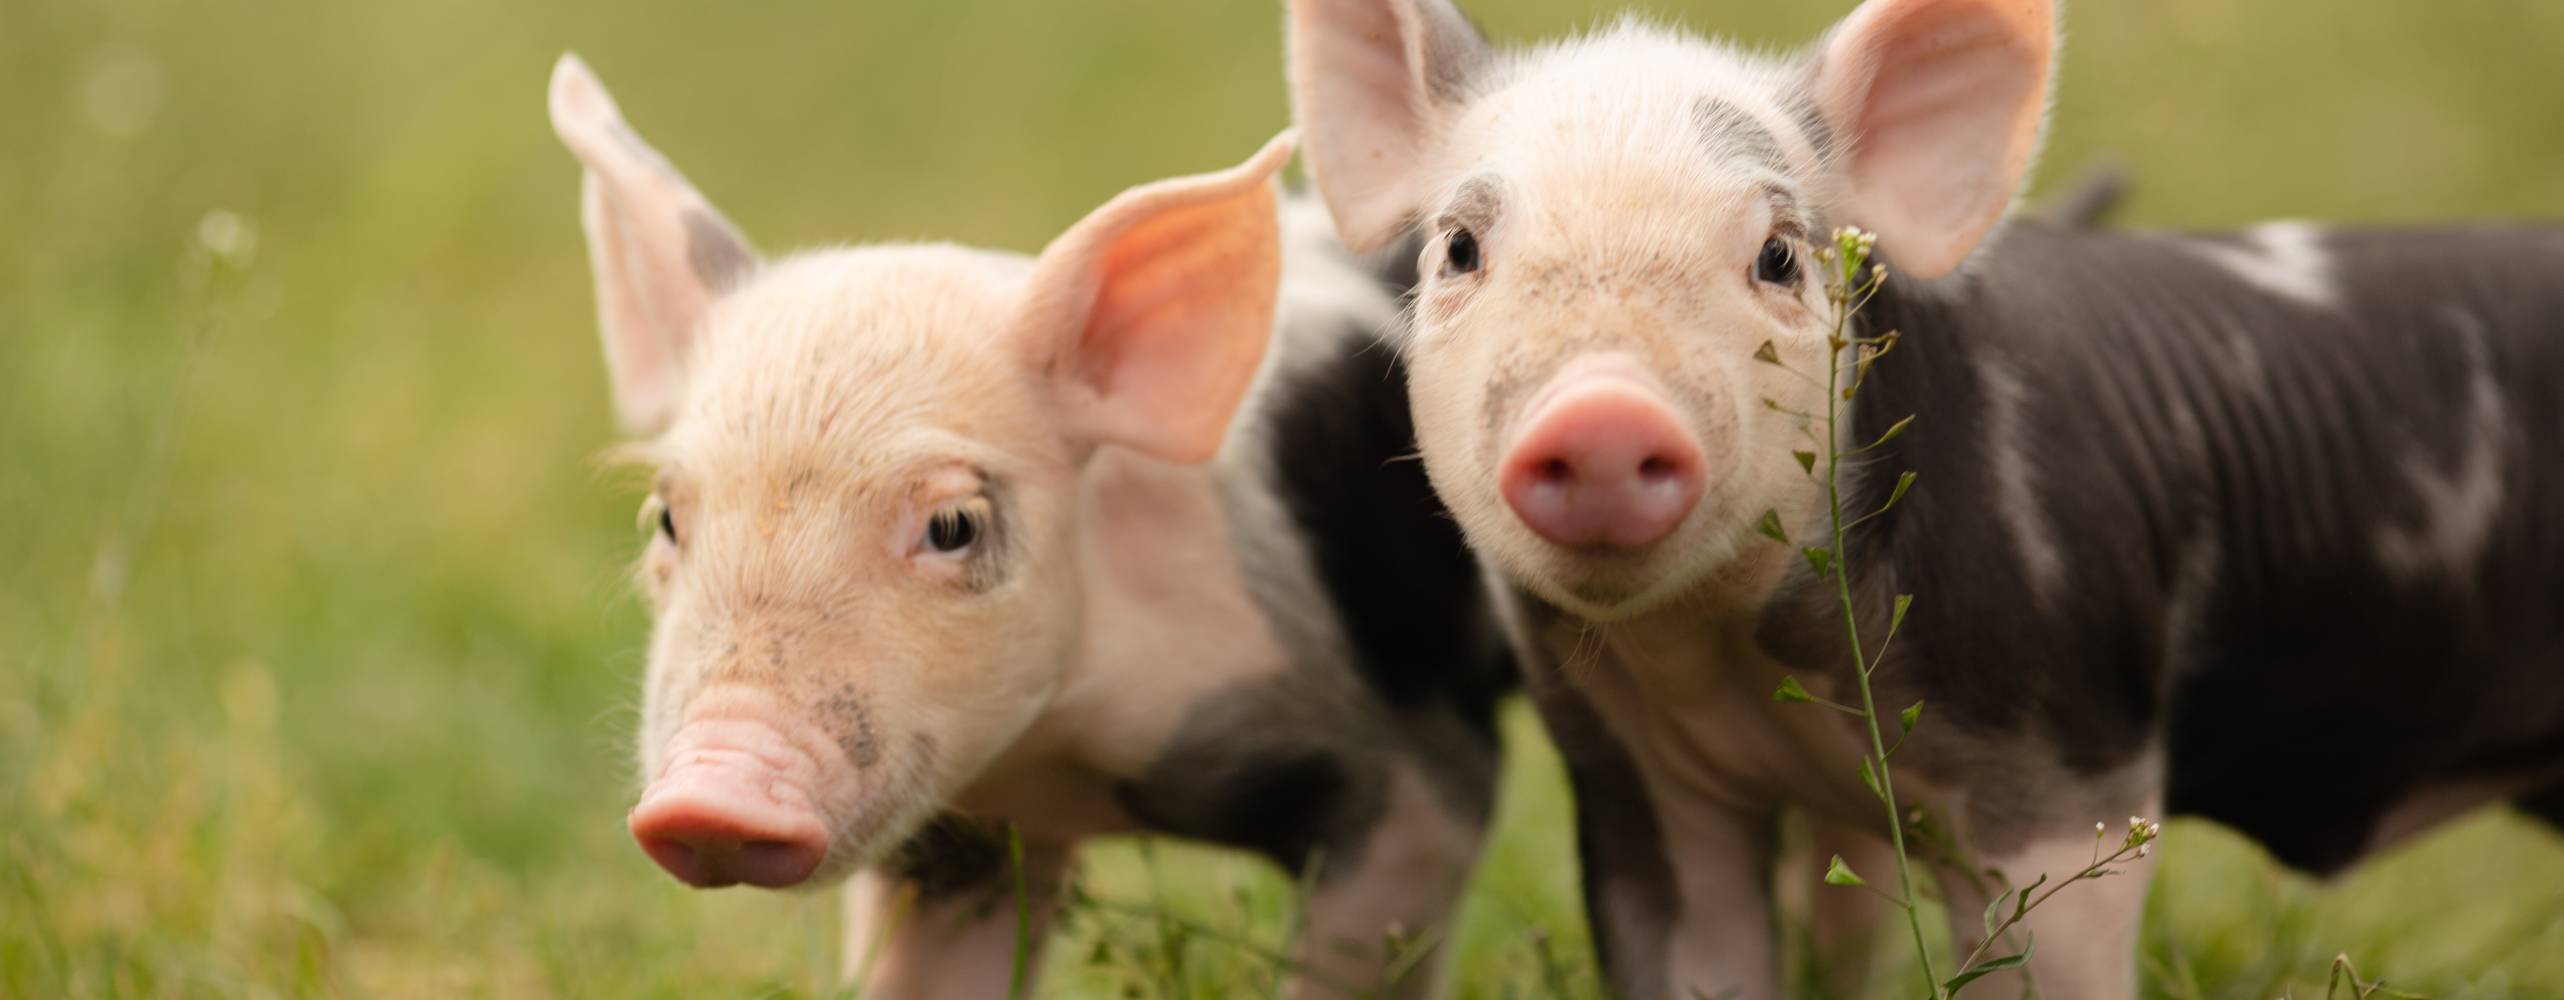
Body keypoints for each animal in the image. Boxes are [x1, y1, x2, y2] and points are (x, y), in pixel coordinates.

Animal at [545, 55, 1512, 996]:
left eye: (953, 525)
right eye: (667, 519)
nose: (709, 797)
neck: (1065, 758)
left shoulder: (1417, 761)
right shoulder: (964, 842)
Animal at [1285, 0, 2564, 996]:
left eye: (1777, 256)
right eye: (1458, 248)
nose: (1602, 412)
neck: (1739, 662)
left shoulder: (2065, 774)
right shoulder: (1643, 784)